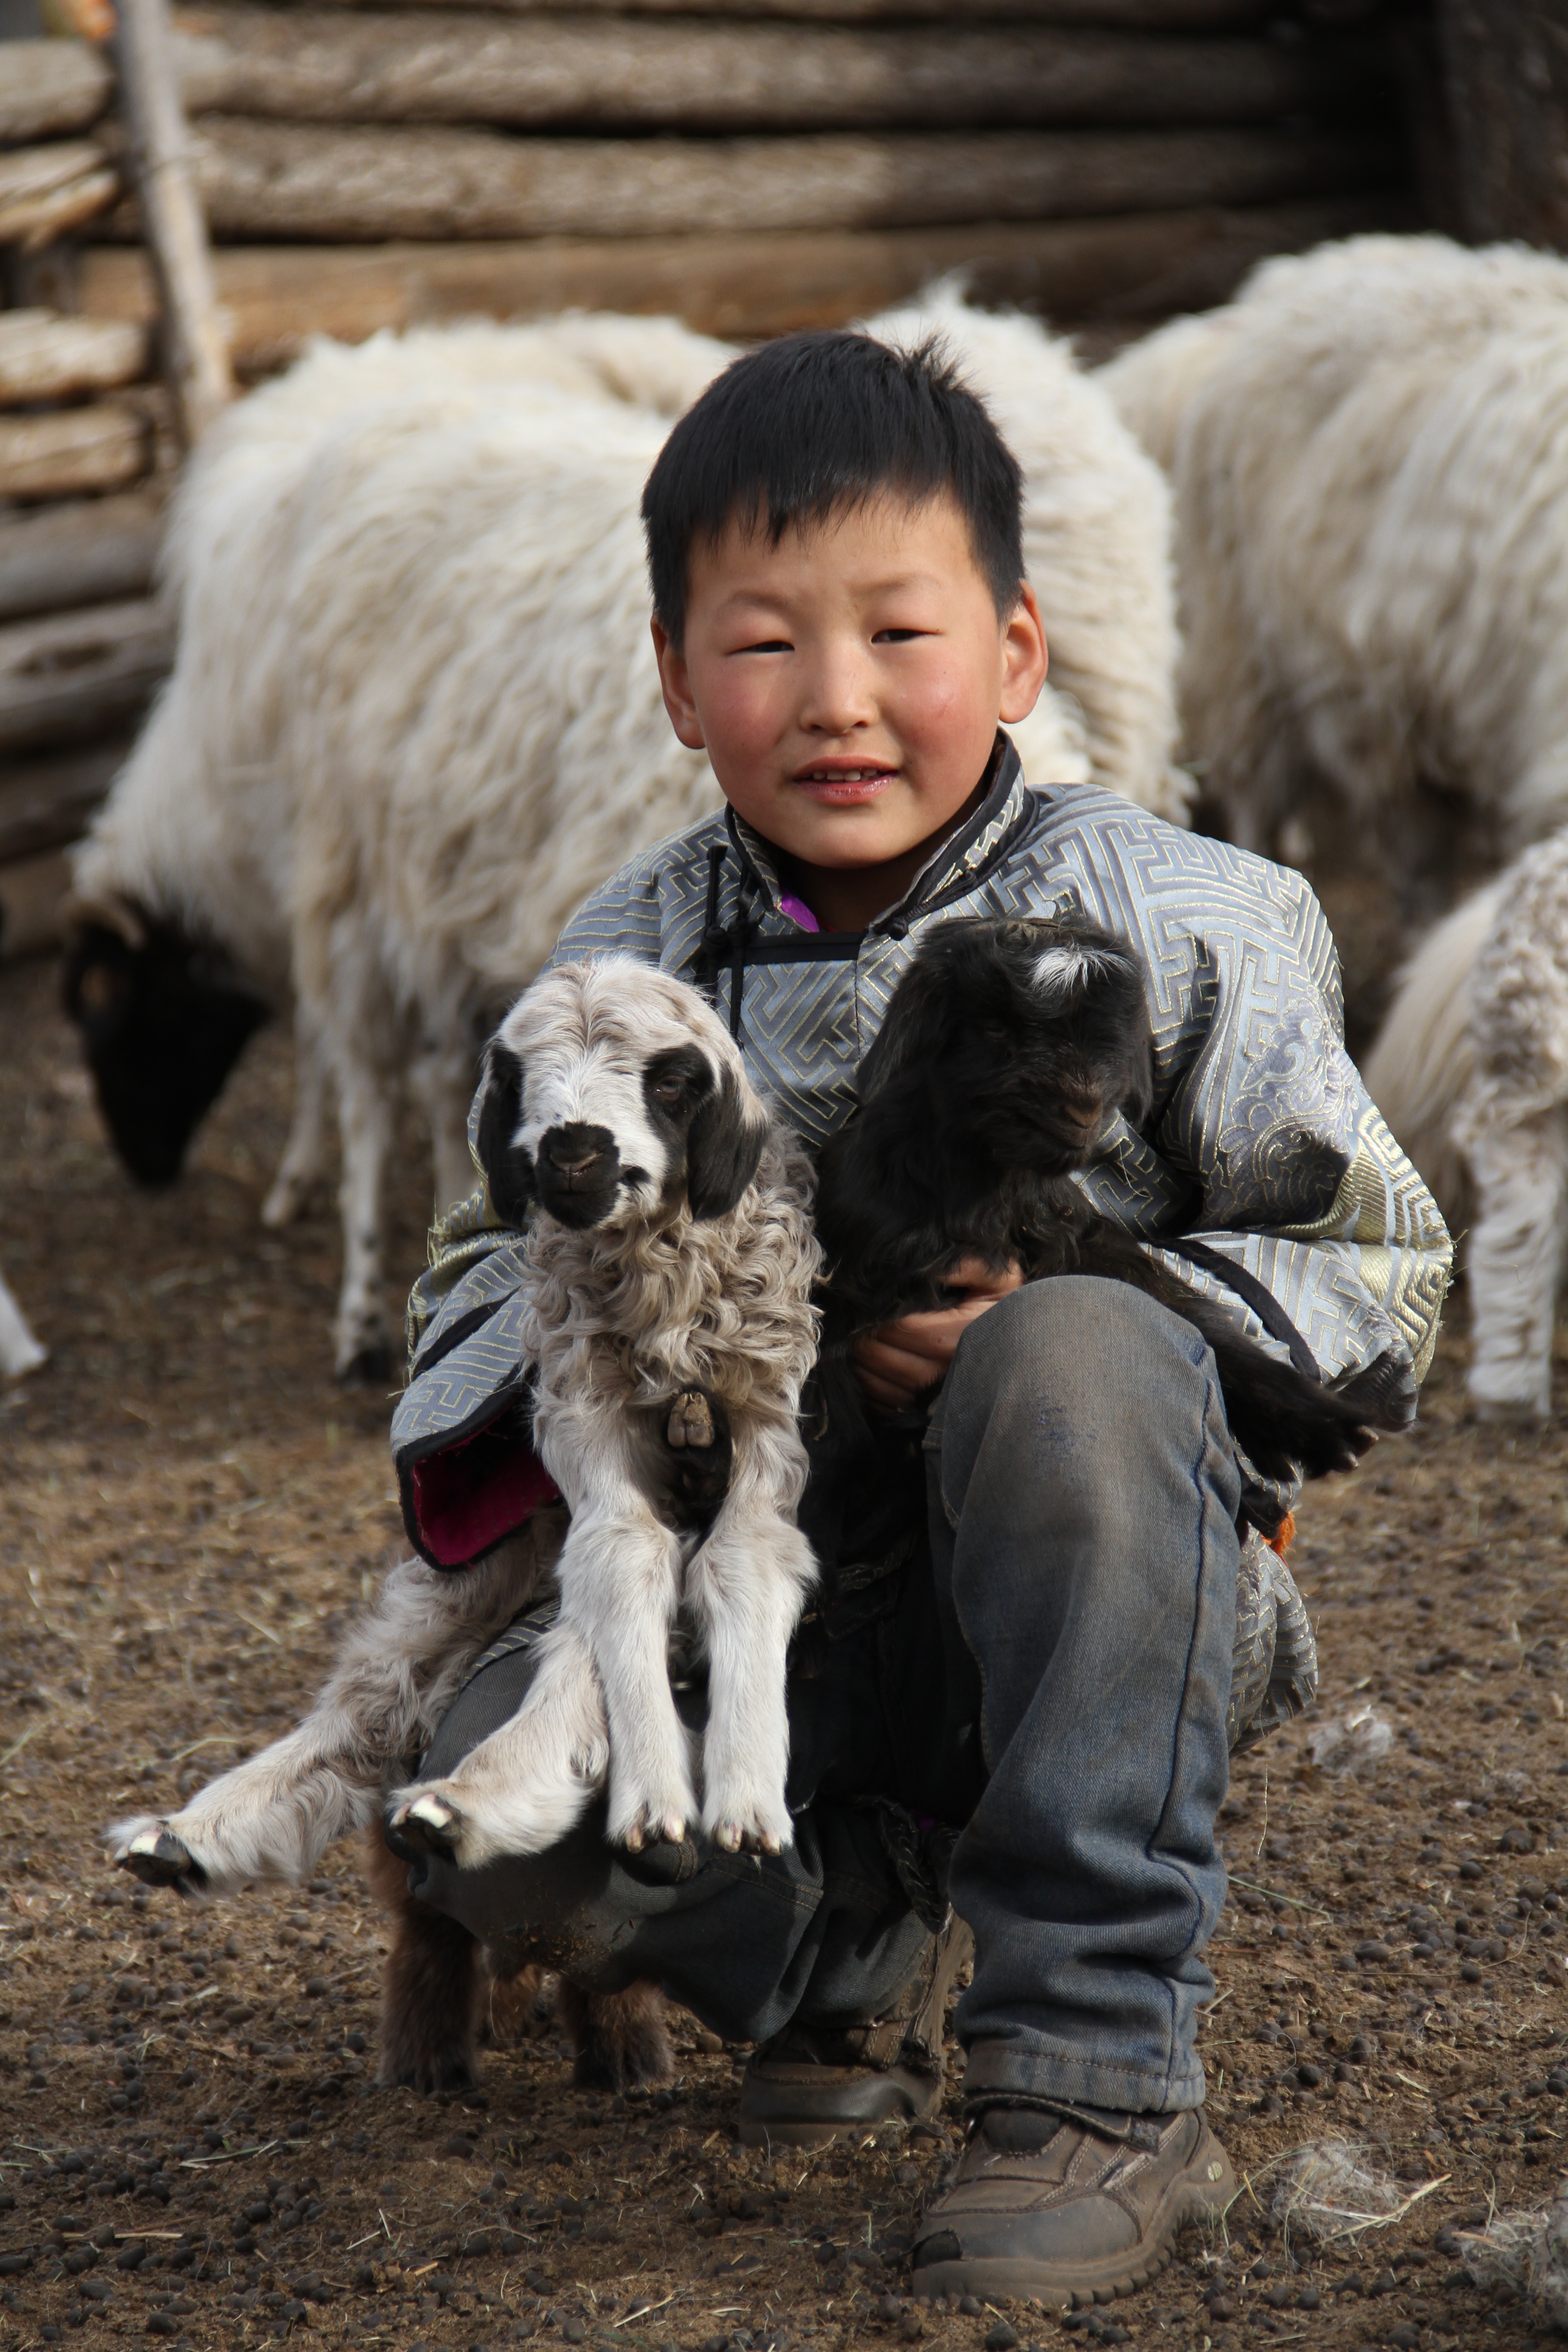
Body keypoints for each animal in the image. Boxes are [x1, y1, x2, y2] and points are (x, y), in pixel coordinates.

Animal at [392, 945, 823, 1862]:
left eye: (672, 1080)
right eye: (518, 1075)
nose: (574, 1150)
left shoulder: (767, 1416)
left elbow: (748, 1556)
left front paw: (747, 1803)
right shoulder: (581, 1409)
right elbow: (622, 1557)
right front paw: (655, 1801)